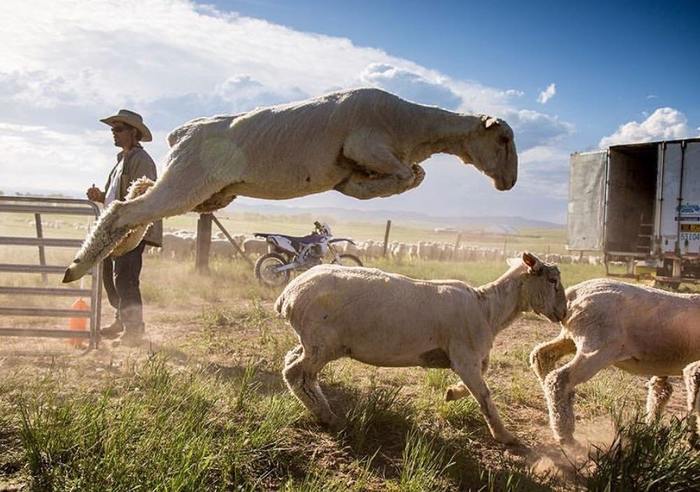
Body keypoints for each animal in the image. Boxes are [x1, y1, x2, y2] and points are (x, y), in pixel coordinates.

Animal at [274, 252, 568, 444]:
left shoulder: (470, 357)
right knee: (297, 373)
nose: (563, 312)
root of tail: (288, 294)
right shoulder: (465, 356)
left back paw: (322, 411)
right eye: (553, 280)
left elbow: (479, 383)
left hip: (313, 342)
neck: (489, 309)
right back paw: (328, 416)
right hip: (322, 343)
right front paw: (505, 436)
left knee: (292, 361)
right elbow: (484, 394)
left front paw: (451, 393)